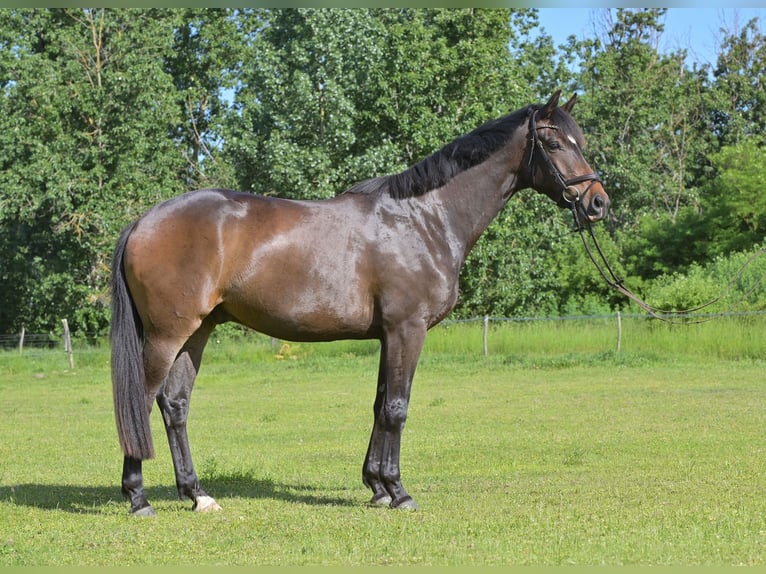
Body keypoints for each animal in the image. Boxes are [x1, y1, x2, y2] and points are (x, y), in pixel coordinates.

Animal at [111, 90, 609, 516]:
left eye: (579, 142)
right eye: (553, 142)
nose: (597, 203)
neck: (424, 219)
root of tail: (142, 221)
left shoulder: (389, 334)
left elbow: (380, 404)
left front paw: (377, 487)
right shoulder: (408, 329)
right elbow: (397, 407)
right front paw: (399, 491)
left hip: (197, 330)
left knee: (175, 405)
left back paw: (198, 495)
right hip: (167, 334)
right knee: (144, 400)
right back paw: (138, 498)